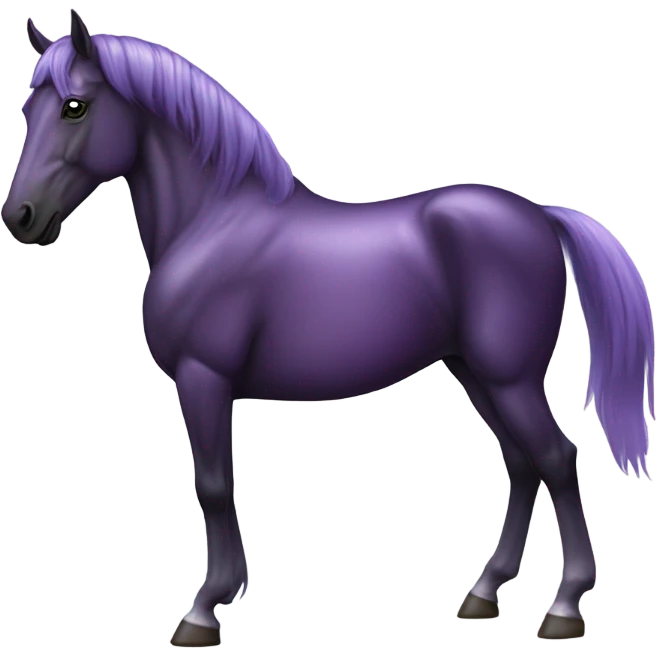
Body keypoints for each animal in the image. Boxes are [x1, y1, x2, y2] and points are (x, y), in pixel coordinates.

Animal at [2, 10, 654, 648]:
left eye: (75, 106)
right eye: (28, 110)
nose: (20, 217)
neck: (212, 222)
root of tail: (541, 215)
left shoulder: (203, 379)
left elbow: (212, 484)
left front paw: (203, 611)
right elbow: (216, 485)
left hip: (509, 379)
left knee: (555, 459)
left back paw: (564, 608)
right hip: (477, 374)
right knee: (522, 465)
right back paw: (482, 595)